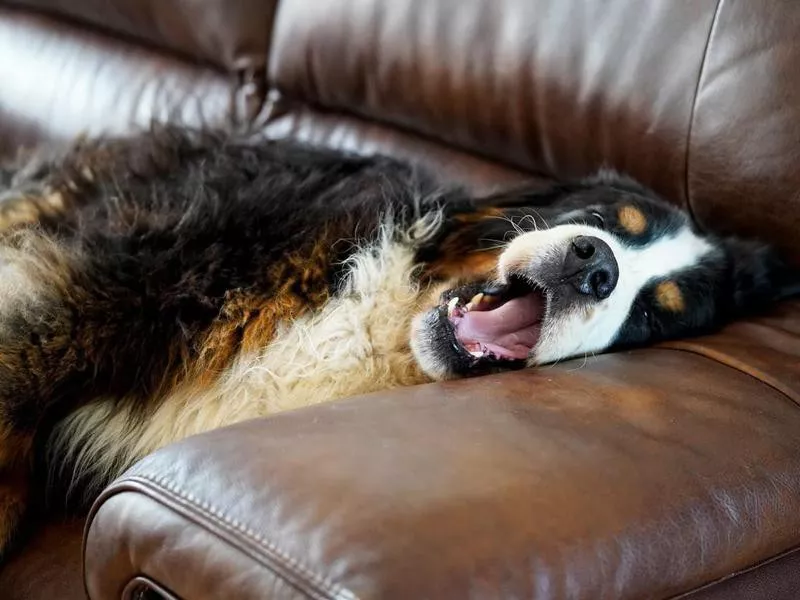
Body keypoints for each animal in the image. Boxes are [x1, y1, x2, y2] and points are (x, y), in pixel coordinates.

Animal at [0, 127, 796, 556]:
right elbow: (22, 381)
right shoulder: (114, 282)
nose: (594, 267)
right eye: (608, 219)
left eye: (654, 317)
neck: (385, 322)